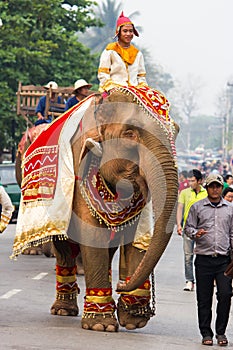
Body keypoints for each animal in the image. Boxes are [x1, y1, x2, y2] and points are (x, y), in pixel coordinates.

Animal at [12, 86, 179, 332]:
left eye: (175, 133)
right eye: (130, 133)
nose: (121, 285)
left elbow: (136, 238)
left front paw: (133, 321)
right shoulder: (81, 164)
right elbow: (92, 233)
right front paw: (102, 325)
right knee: (64, 247)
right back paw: (64, 310)